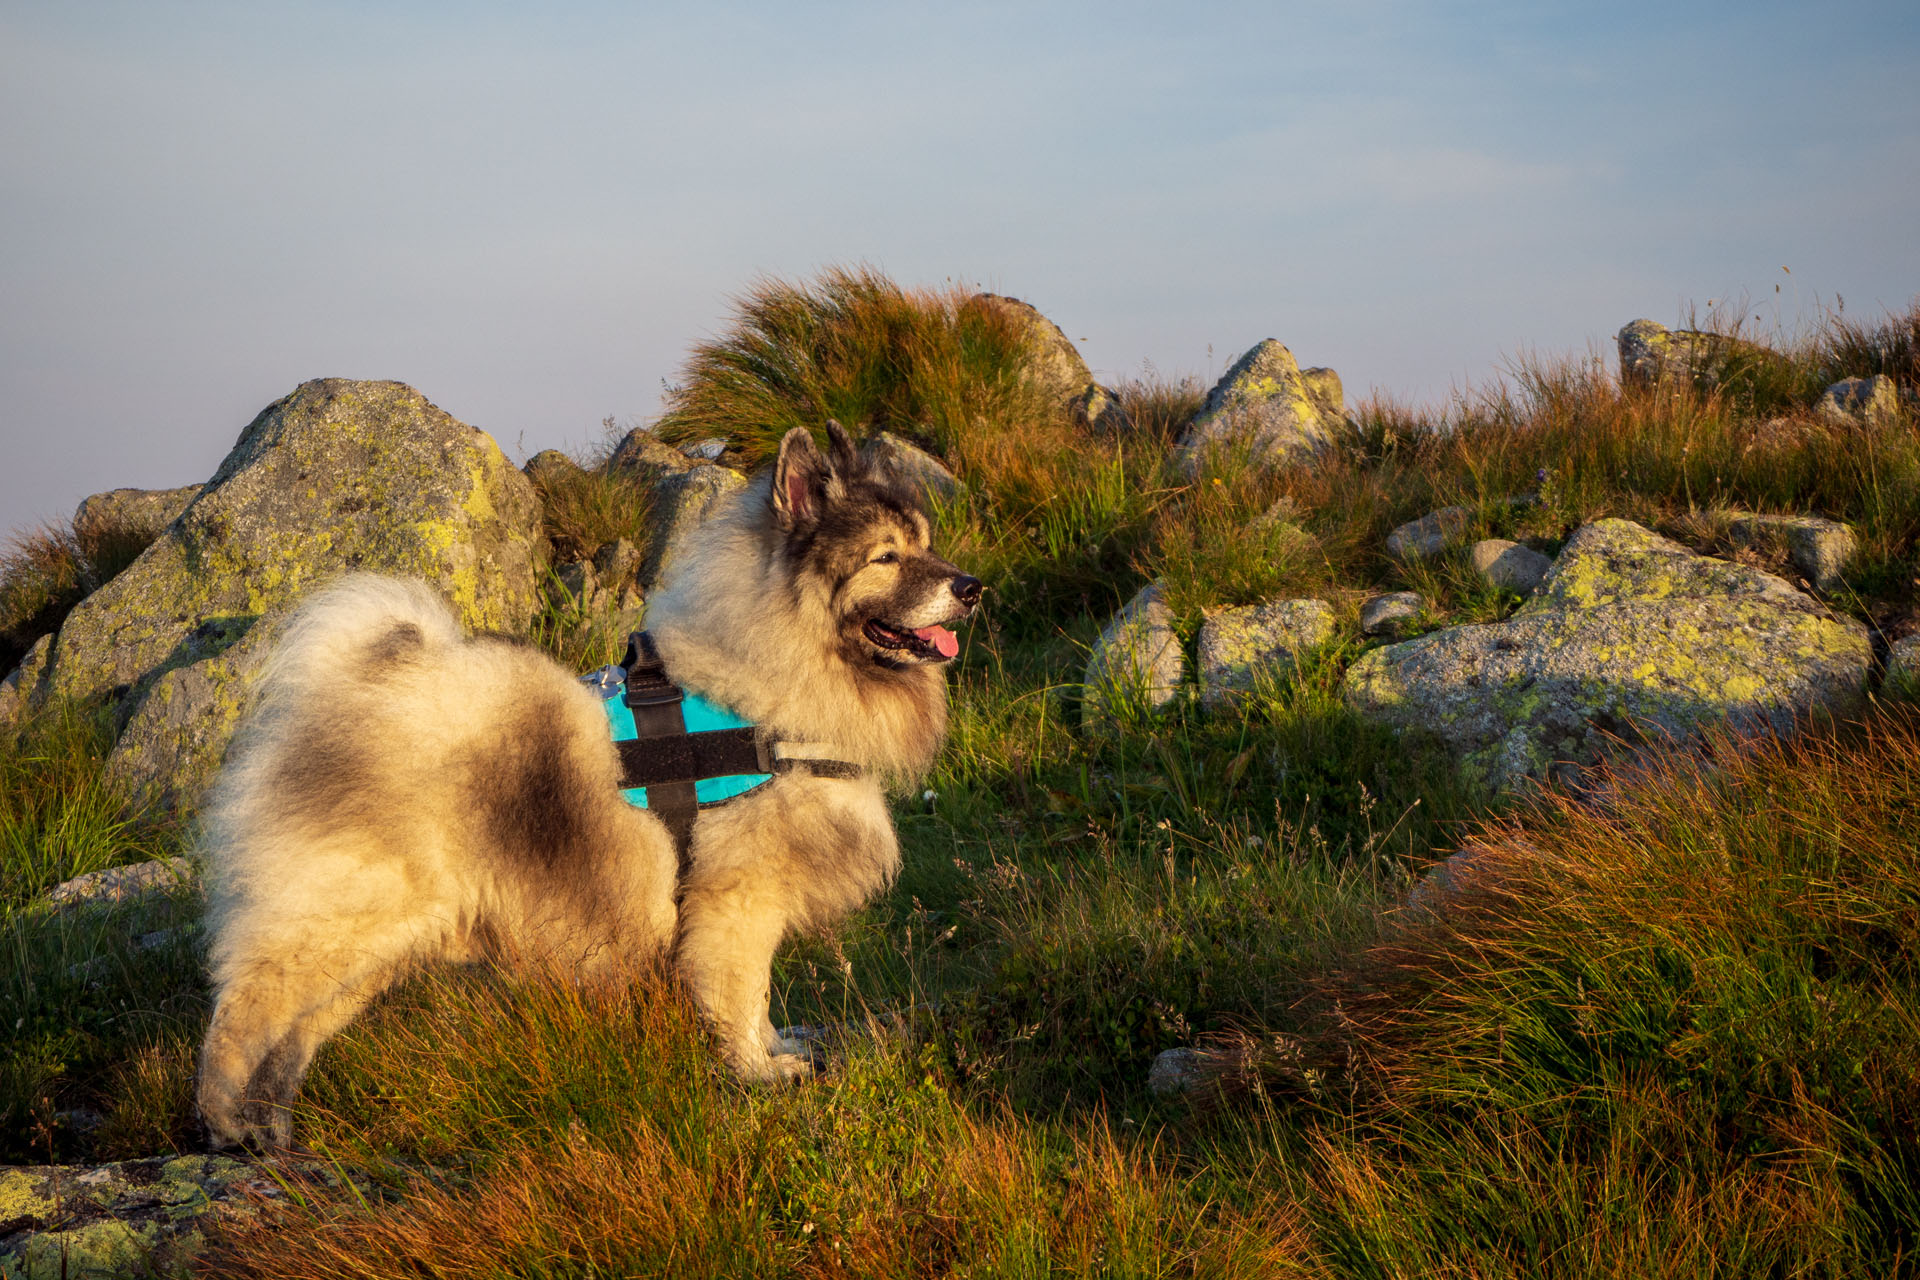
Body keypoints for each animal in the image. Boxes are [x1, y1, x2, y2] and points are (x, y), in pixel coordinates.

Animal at [198, 422, 975, 1151]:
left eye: (927, 545)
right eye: (885, 557)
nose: (970, 588)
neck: (766, 691)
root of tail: (346, 685)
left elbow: (753, 1000)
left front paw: (776, 1051)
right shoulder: (738, 901)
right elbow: (739, 992)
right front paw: (757, 1070)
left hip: (376, 941)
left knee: (295, 1033)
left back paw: (273, 1126)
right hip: (340, 917)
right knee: (245, 1009)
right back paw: (224, 1121)